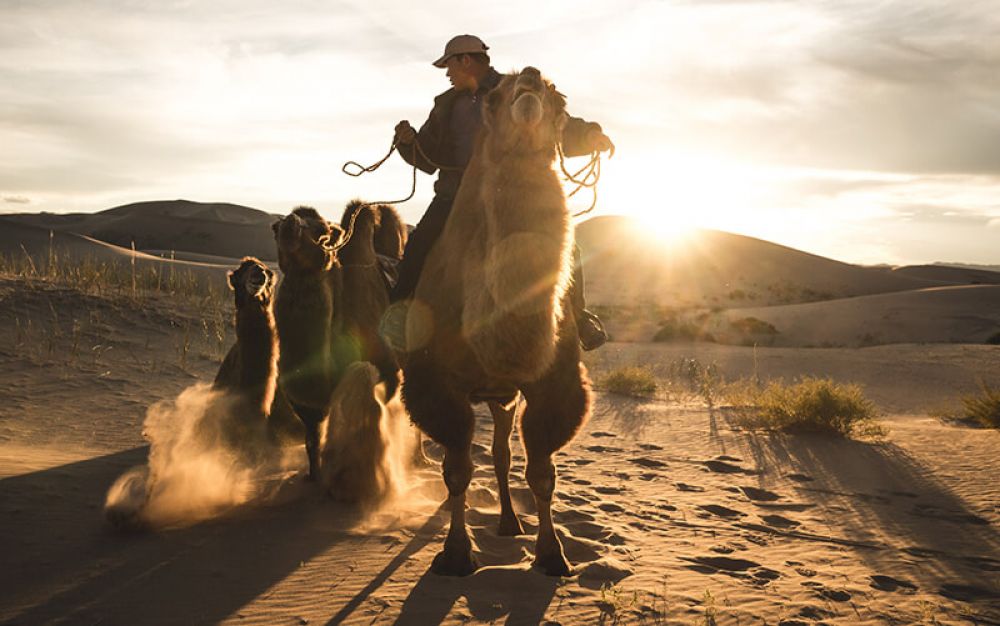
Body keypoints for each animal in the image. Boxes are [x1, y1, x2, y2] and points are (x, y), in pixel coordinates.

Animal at [274, 202, 406, 480]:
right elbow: (312, 442)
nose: (290, 224)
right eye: (274, 228)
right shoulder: (305, 403)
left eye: (322, 231)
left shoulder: (387, 371)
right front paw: (314, 477)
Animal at [402, 67, 592, 576]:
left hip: (503, 395)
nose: (530, 77)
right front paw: (454, 553)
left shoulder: (554, 382)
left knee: (503, 453)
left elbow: (541, 471)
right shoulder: (436, 383)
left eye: (558, 94)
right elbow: (457, 469)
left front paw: (552, 554)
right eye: (492, 96)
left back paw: (509, 521)